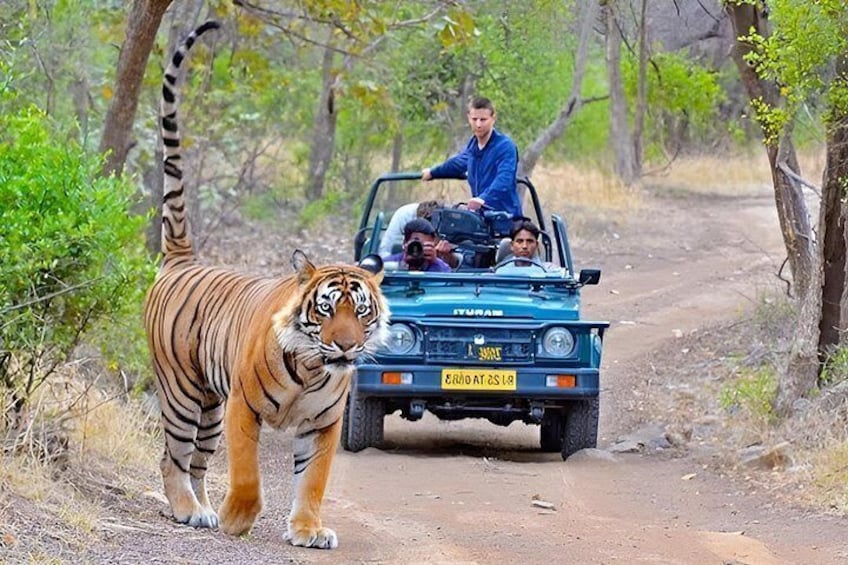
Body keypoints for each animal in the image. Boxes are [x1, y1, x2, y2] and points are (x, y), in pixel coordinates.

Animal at [143, 20, 389, 550]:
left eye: (361, 312)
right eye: (326, 309)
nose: (345, 347)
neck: (315, 368)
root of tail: (181, 260)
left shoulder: (323, 424)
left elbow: (313, 481)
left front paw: (308, 530)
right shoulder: (243, 407)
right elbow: (247, 473)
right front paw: (239, 519)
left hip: (209, 407)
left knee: (197, 462)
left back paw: (201, 510)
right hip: (182, 392)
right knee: (172, 456)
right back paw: (188, 509)